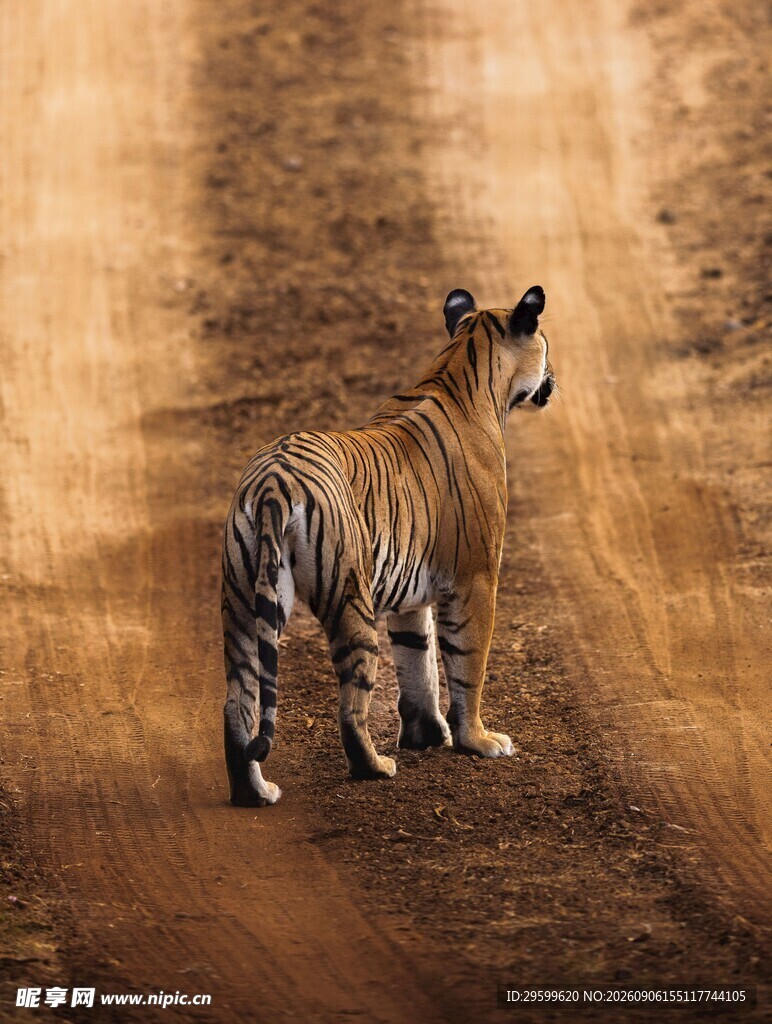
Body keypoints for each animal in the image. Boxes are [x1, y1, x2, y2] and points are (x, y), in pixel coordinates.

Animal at [222, 285, 556, 806]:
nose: (553, 379)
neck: (463, 366)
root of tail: (274, 482)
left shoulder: (410, 593)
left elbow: (418, 661)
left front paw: (427, 735)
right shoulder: (477, 578)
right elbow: (466, 665)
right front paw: (478, 741)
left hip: (244, 601)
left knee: (237, 702)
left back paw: (254, 792)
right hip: (350, 599)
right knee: (350, 705)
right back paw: (375, 767)